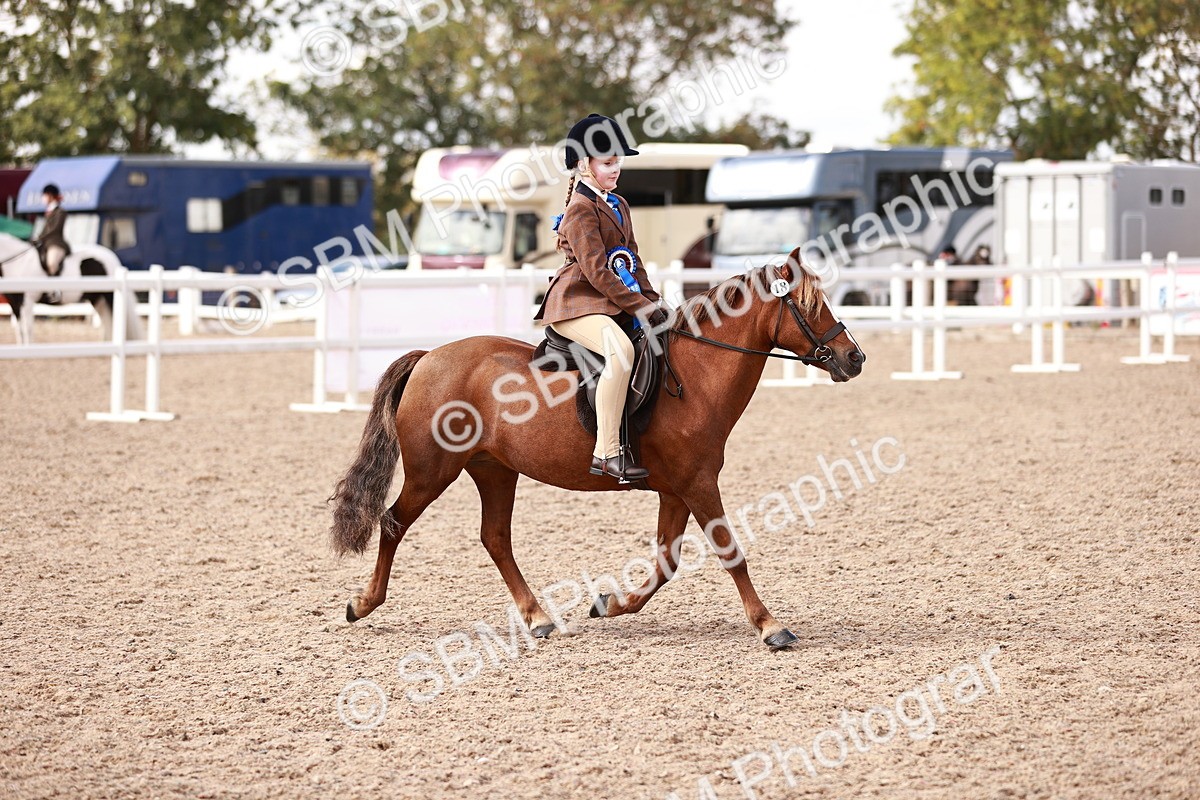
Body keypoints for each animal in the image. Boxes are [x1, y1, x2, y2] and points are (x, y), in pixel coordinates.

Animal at [0, 232, 143, 344]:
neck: (18, 264)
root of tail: (112, 257)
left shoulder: (27, 302)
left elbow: (28, 328)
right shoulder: (15, 303)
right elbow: (19, 330)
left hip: (109, 296)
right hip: (98, 299)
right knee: (107, 320)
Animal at [329, 252, 865, 649]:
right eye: (810, 305)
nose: (854, 358)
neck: (697, 373)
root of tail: (428, 358)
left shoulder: (676, 490)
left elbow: (666, 562)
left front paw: (610, 603)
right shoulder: (697, 484)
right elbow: (730, 551)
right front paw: (770, 626)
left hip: (494, 470)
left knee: (495, 538)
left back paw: (538, 617)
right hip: (431, 471)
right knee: (393, 522)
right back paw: (363, 603)